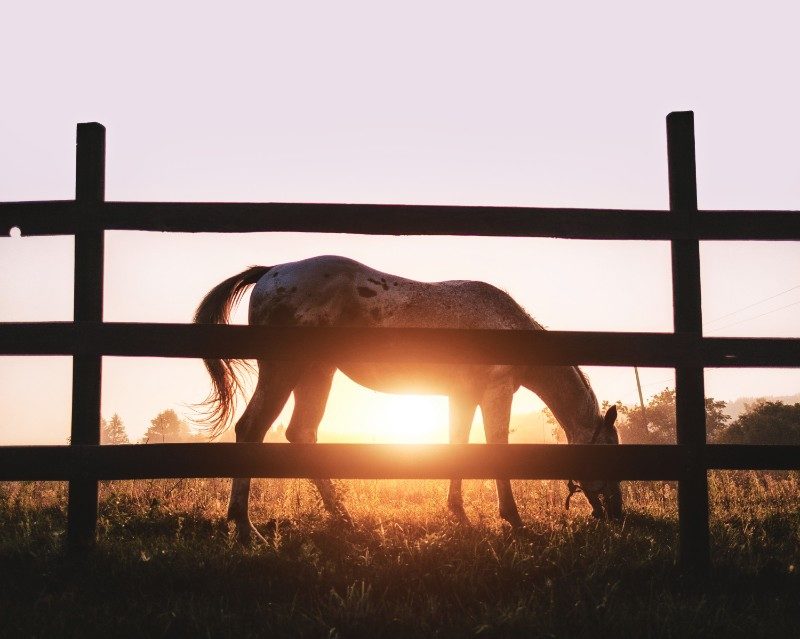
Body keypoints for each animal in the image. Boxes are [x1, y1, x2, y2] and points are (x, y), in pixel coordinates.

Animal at [194, 255, 622, 544]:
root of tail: (272, 272)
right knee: (252, 429)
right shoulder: (495, 394)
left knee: (301, 433)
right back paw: (244, 526)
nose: (617, 516)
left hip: (316, 373)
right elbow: (496, 451)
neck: (505, 325)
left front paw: (459, 515)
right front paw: (513, 520)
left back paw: (343, 517)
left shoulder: (462, 397)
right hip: (284, 371)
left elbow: (458, 448)